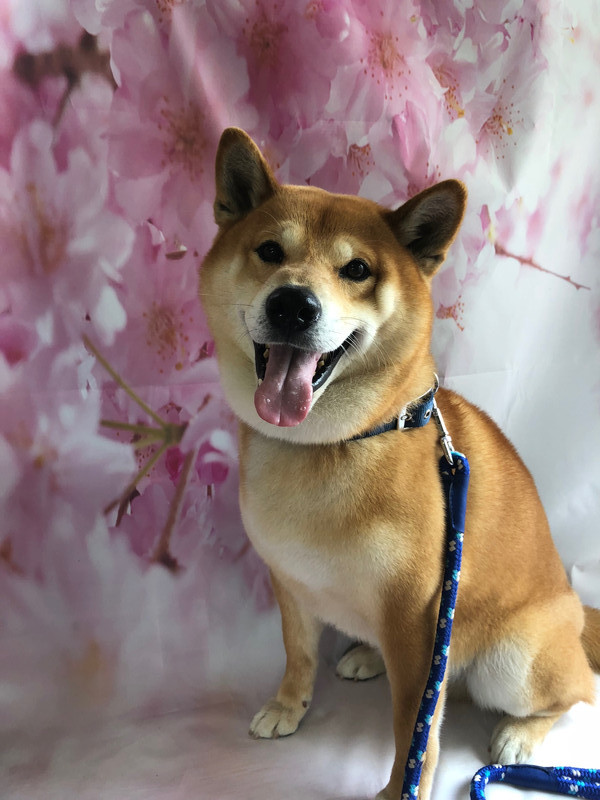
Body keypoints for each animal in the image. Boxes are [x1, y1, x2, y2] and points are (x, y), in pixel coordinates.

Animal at [199, 127, 600, 800]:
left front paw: (400, 787)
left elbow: (414, 720)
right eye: (270, 251)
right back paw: (365, 654)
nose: (292, 304)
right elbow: (298, 654)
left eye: (357, 269)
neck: (332, 445)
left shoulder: (418, 617)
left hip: (514, 659)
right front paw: (288, 705)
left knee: (571, 693)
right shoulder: (290, 580)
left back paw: (522, 735)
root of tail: (573, 607)